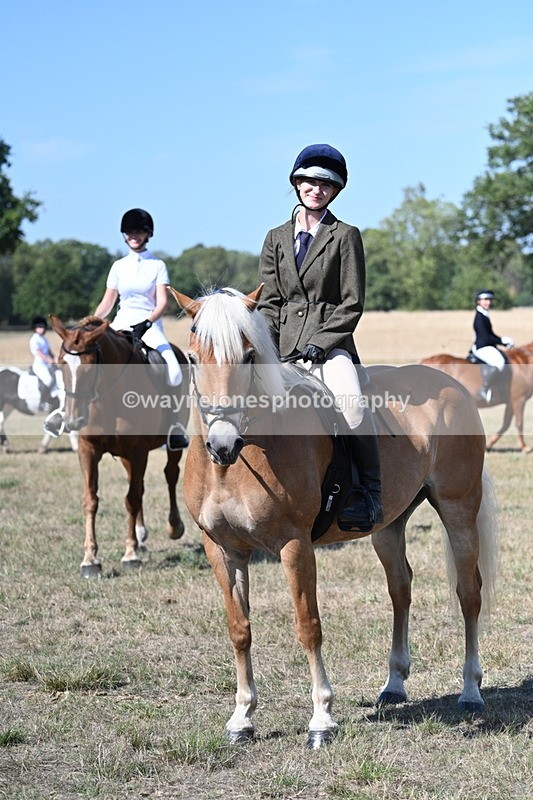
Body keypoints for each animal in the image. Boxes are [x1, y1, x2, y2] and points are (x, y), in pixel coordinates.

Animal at [49, 315, 189, 577]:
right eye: (60, 363)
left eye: (89, 366)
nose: (73, 420)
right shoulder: (88, 450)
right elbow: (91, 500)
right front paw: (90, 560)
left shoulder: (138, 451)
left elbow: (131, 499)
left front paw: (130, 554)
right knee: (139, 484)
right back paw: (141, 535)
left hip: (170, 444)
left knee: (170, 475)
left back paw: (174, 527)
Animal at [166, 284, 498, 749]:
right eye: (193, 358)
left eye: (249, 357)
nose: (221, 444)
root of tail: (452, 385)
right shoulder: (222, 550)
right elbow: (239, 629)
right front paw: (242, 718)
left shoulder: (294, 546)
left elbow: (308, 625)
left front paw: (321, 719)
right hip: (388, 527)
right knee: (401, 590)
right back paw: (394, 685)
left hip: (459, 510)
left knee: (468, 594)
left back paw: (470, 690)